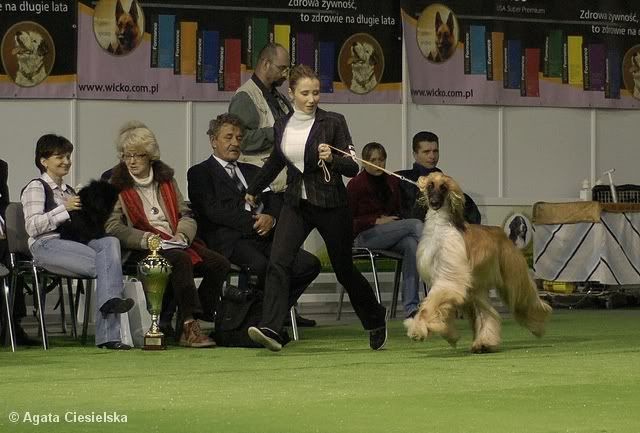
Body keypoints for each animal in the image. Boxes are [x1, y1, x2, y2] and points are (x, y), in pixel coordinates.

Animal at [404, 173, 551, 353]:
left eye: (443, 187)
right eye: (430, 185)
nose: (434, 202)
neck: (440, 229)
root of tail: (502, 234)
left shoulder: (449, 278)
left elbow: (428, 307)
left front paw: (417, 330)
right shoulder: (444, 279)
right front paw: (448, 333)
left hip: (512, 276)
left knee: (524, 299)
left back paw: (538, 325)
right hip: (477, 287)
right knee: (488, 312)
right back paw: (484, 342)